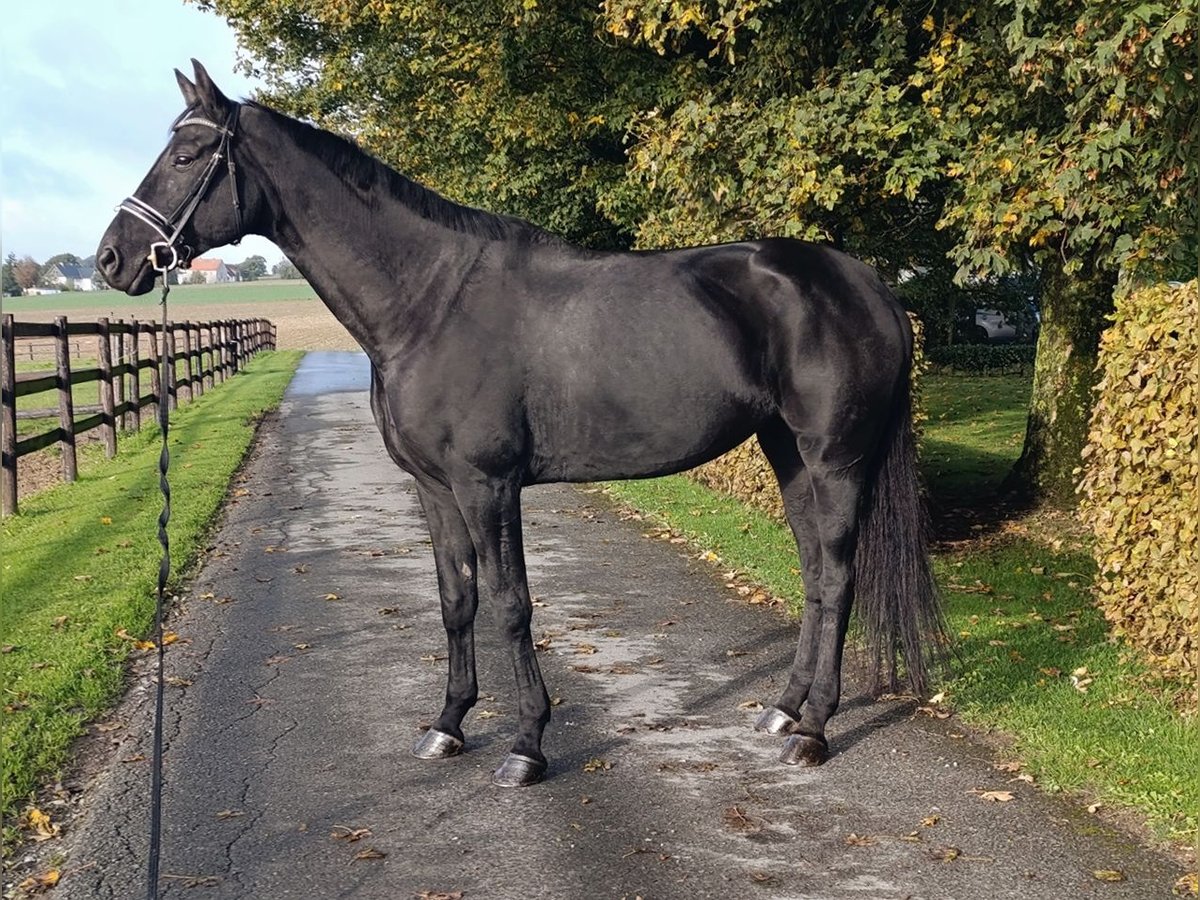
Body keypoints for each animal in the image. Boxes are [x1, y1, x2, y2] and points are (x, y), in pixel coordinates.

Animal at [98, 61, 940, 787]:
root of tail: (867, 283)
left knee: (837, 577)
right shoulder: (434, 489)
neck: (428, 302)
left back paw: (816, 731)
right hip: (787, 454)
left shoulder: (488, 486)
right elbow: (456, 601)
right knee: (813, 575)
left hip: (835, 458)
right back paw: (783, 711)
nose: (113, 259)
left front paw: (527, 744)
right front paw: (447, 725)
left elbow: (511, 604)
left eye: (187, 154)